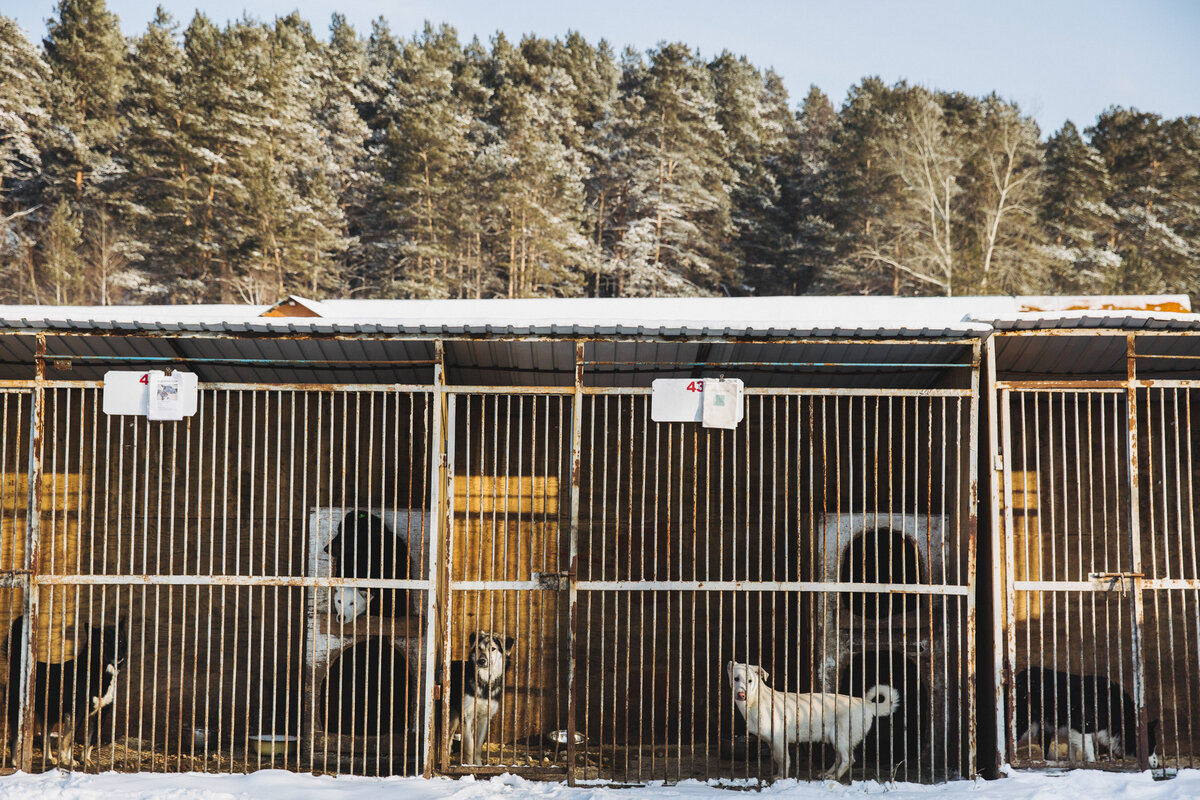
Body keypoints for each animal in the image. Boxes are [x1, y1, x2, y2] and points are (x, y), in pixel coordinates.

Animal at [446, 633, 511, 762]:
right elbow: (469, 747)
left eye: (493, 649)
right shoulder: (466, 716)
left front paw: (478, 764)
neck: (484, 682)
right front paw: (469, 765)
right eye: (479, 648)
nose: (481, 661)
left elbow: (477, 746)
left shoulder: (484, 718)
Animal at [720, 662, 902, 782]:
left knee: (848, 759)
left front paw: (781, 777)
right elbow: (778, 759)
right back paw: (827, 773)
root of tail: (866, 703)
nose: (741, 694)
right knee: (839, 758)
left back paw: (834, 777)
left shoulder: (779, 739)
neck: (755, 701)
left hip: (841, 737)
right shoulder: (771, 741)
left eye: (750, 681)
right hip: (836, 739)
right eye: (736, 679)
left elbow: (782, 759)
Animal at [1012, 666, 1161, 767]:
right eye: (1150, 745)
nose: (1157, 765)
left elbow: (1072, 751)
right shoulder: (1081, 726)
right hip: (1023, 721)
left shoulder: (1072, 730)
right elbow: (1089, 750)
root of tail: (1018, 677)